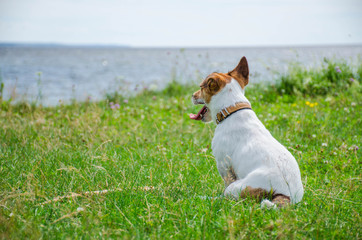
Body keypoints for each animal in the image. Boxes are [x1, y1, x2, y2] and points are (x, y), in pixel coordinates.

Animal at [191, 57, 304, 207]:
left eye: (201, 88)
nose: (192, 95)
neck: (232, 109)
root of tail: (287, 196)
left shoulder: (224, 166)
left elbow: (226, 183)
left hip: (236, 187)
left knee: (228, 196)